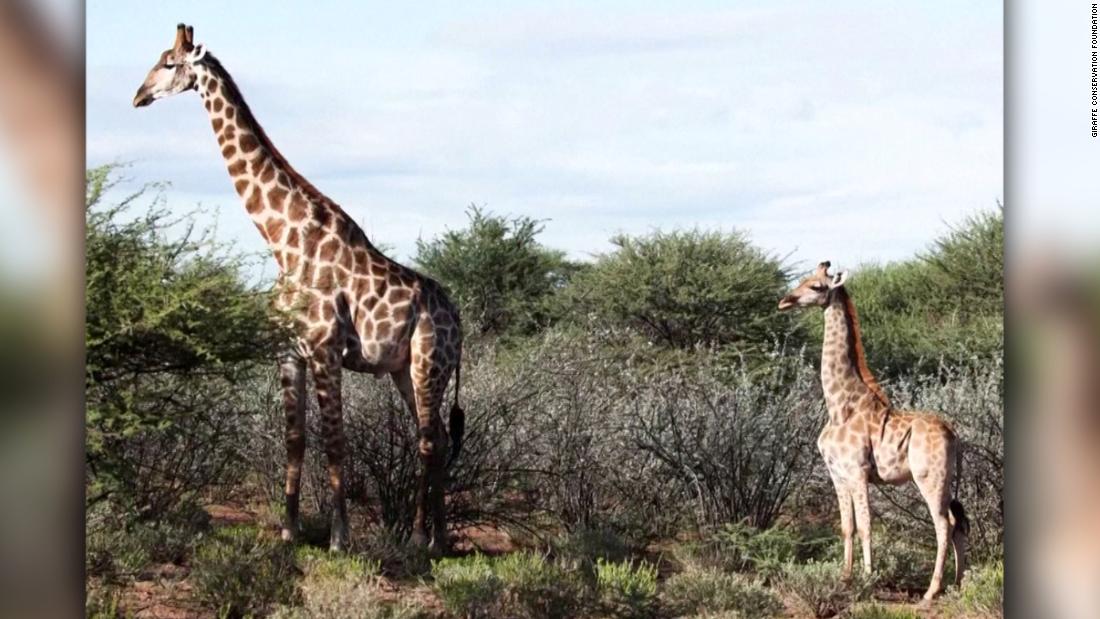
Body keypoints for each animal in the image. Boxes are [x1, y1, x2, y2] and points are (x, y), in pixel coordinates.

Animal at [133, 24, 464, 551]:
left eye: (168, 63)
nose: (138, 96)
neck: (283, 242)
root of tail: (459, 319)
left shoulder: (325, 349)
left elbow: (335, 441)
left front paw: (339, 537)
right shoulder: (288, 352)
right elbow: (296, 439)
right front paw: (288, 530)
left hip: (428, 363)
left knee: (430, 441)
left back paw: (420, 539)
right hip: (404, 370)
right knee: (434, 440)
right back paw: (437, 539)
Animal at [778, 261, 968, 602]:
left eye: (816, 286)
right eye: (804, 279)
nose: (785, 301)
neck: (839, 405)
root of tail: (953, 434)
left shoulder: (857, 471)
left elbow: (866, 526)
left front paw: (867, 580)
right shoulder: (837, 474)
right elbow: (847, 526)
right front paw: (844, 578)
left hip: (929, 477)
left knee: (943, 524)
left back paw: (931, 591)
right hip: (947, 481)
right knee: (959, 522)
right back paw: (957, 584)